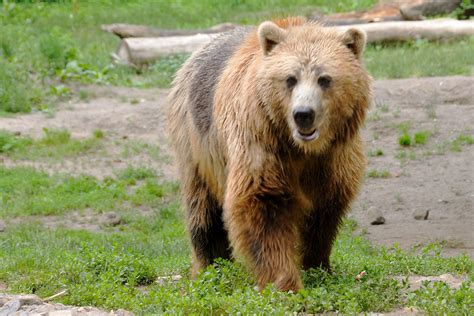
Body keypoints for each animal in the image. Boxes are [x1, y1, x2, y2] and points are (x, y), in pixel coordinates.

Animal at [167, 16, 370, 292]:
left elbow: (324, 210)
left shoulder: (335, 157)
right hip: (194, 143)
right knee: (203, 209)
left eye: (324, 78)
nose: (303, 114)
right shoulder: (260, 140)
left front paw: (318, 266)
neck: (301, 149)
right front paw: (285, 282)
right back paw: (211, 266)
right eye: (290, 79)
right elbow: (263, 205)